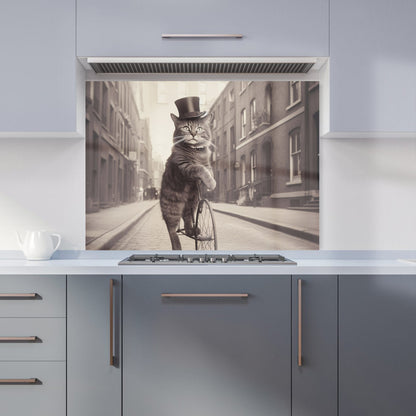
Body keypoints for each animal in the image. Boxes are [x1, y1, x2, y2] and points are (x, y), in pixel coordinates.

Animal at [161, 96, 216, 249]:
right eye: (186, 128)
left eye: (199, 128)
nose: (193, 133)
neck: (195, 152)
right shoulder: (185, 166)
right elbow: (199, 168)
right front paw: (211, 183)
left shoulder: (207, 164)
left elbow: (209, 170)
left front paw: (210, 181)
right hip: (172, 206)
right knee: (171, 229)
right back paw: (177, 245)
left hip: (191, 202)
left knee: (187, 219)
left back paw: (192, 231)